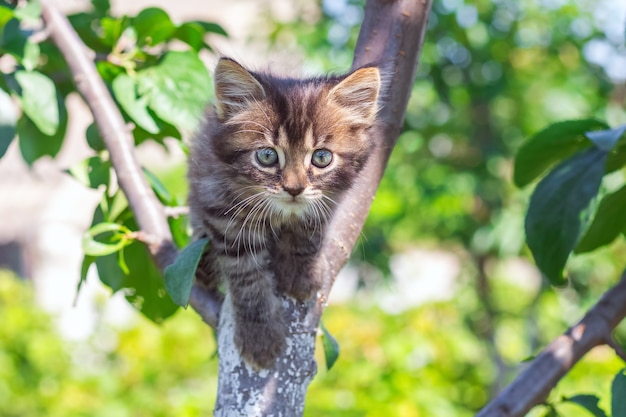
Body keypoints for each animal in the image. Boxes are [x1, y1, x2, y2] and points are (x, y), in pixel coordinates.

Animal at [188, 57, 378, 368]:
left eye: (321, 157)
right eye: (267, 156)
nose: (294, 188)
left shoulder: (329, 199)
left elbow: (309, 231)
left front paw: (301, 274)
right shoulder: (221, 208)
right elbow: (248, 279)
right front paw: (260, 338)